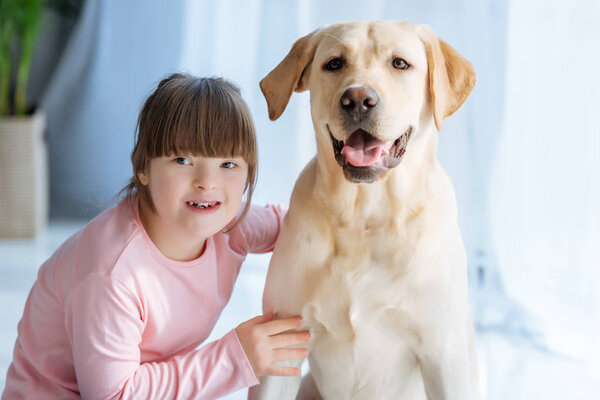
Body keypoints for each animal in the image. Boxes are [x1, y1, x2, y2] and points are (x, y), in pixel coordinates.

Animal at [248, 20, 478, 398]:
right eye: (334, 63)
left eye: (400, 63)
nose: (357, 100)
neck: (366, 218)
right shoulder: (283, 343)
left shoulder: (445, 355)